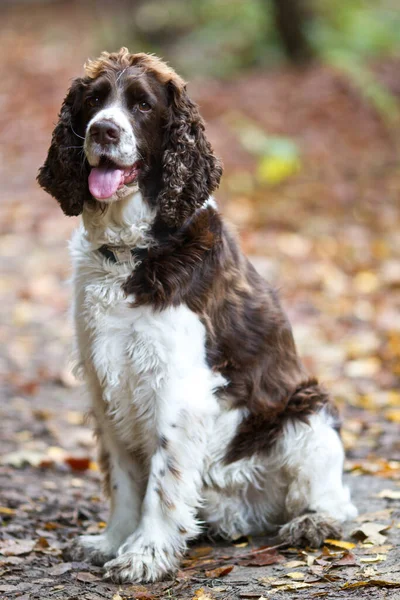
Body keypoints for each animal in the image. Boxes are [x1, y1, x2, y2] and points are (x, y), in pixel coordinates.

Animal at [37, 49, 356, 584]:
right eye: (94, 101)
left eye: (142, 105)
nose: (103, 131)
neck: (129, 251)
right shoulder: (105, 382)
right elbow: (124, 478)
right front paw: (113, 540)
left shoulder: (179, 385)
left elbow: (162, 484)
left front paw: (145, 554)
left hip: (306, 412)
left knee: (336, 500)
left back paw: (313, 523)